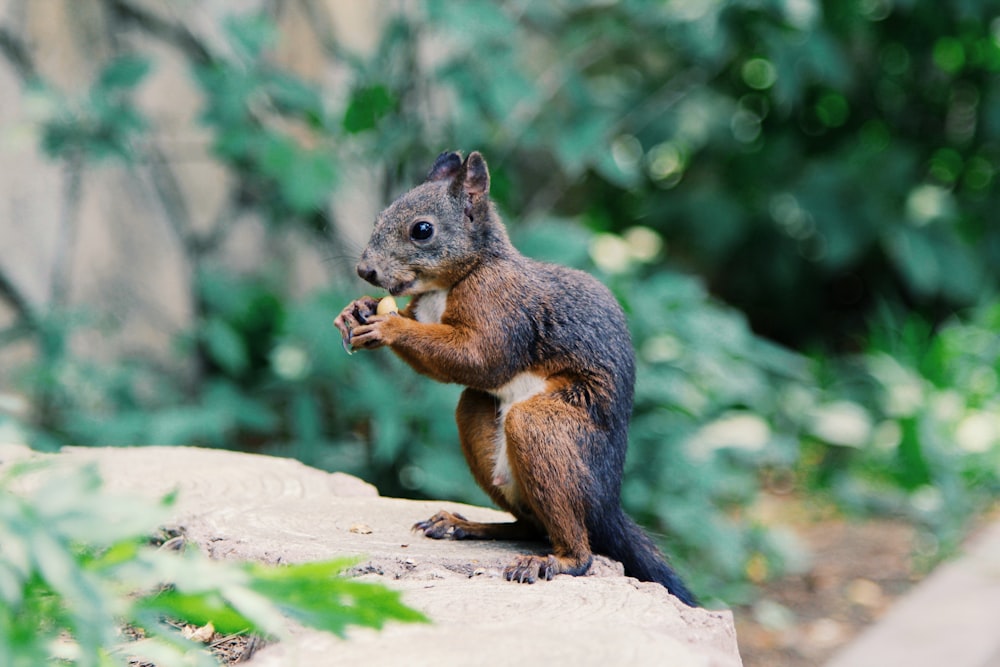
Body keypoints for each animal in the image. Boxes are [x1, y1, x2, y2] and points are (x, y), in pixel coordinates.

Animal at [334, 150, 696, 604]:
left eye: (422, 230)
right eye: (379, 215)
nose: (366, 271)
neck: (454, 281)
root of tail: (607, 505)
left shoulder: (501, 305)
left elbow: (479, 358)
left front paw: (388, 326)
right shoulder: (424, 308)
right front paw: (355, 310)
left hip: (549, 429)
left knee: (577, 547)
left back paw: (555, 561)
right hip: (479, 421)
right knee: (527, 524)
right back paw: (462, 525)